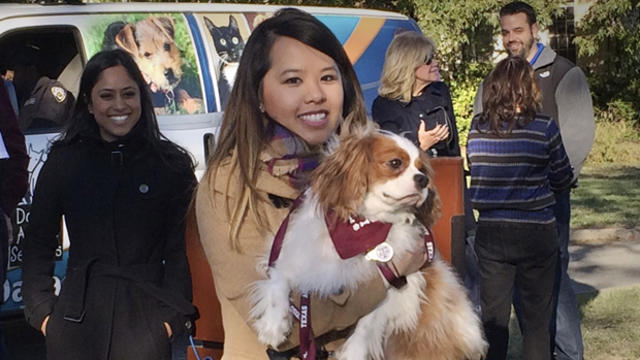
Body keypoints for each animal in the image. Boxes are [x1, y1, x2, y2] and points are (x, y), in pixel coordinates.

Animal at [250, 122, 484, 358]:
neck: (363, 225)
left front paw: (352, 353)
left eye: (423, 169)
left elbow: (366, 324)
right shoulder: (297, 252)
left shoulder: (391, 286)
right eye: (395, 163)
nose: (423, 179)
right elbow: (279, 279)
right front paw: (273, 325)